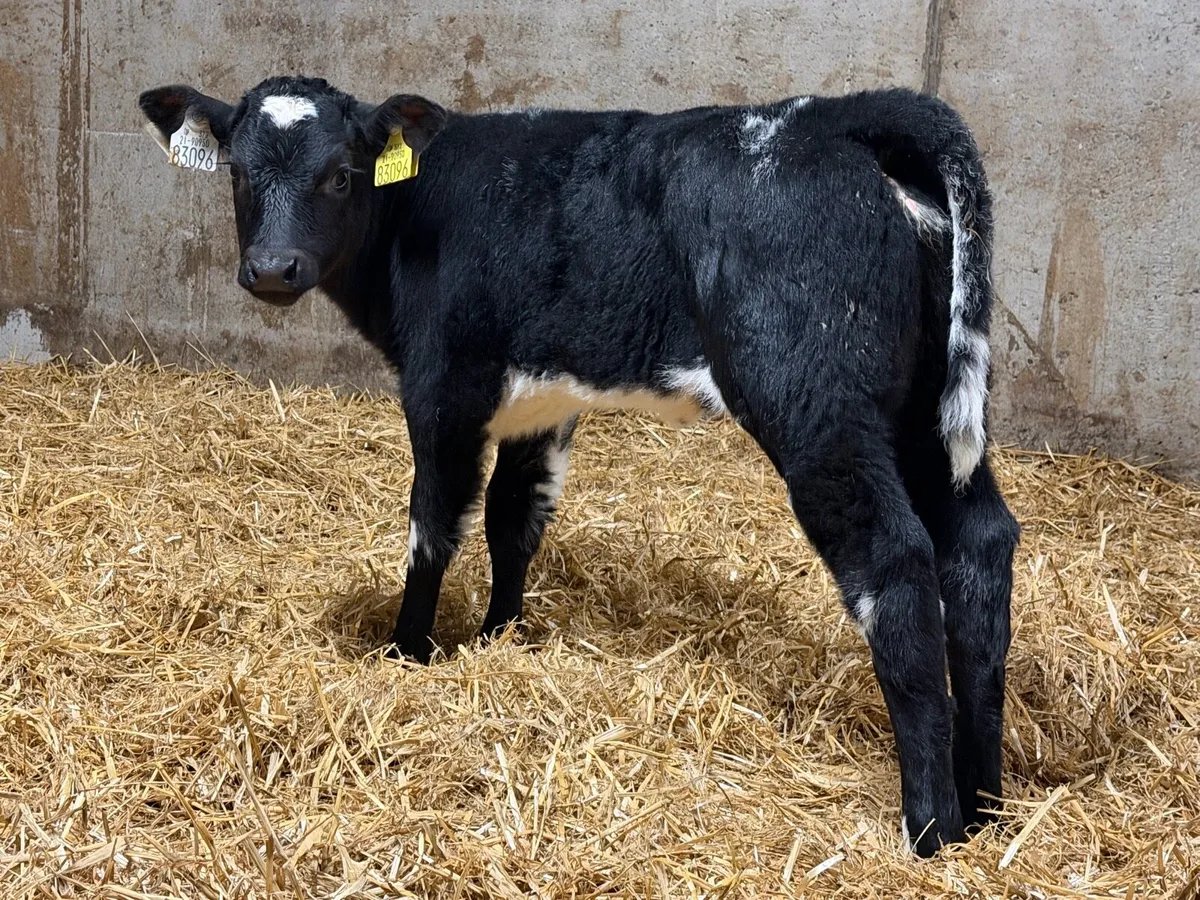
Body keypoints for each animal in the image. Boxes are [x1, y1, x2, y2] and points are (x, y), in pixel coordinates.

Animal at [139, 75, 1020, 856]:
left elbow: (433, 527)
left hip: (818, 404)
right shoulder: (542, 403)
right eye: (240, 171)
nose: (272, 269)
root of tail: (833, 116)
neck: (418, 209)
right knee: (979, 546)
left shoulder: (442, 386)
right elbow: (512, 521)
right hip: (925, 412)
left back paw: (931, 827)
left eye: (341, 174)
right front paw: (499, 639)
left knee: (893, 565)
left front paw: (407, 652)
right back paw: (984, 804)